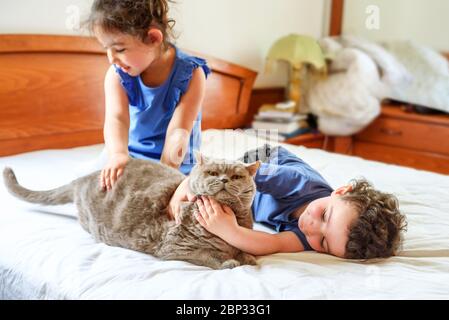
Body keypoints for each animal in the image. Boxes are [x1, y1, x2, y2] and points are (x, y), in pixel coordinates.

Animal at [2, 153, 260, 270]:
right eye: (212, 173)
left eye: (236, 177)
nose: (224, 179)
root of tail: (85, 177)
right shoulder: (175, 247)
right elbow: (208, 255)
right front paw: (229, 262)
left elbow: (242, 247)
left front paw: (247, 257)